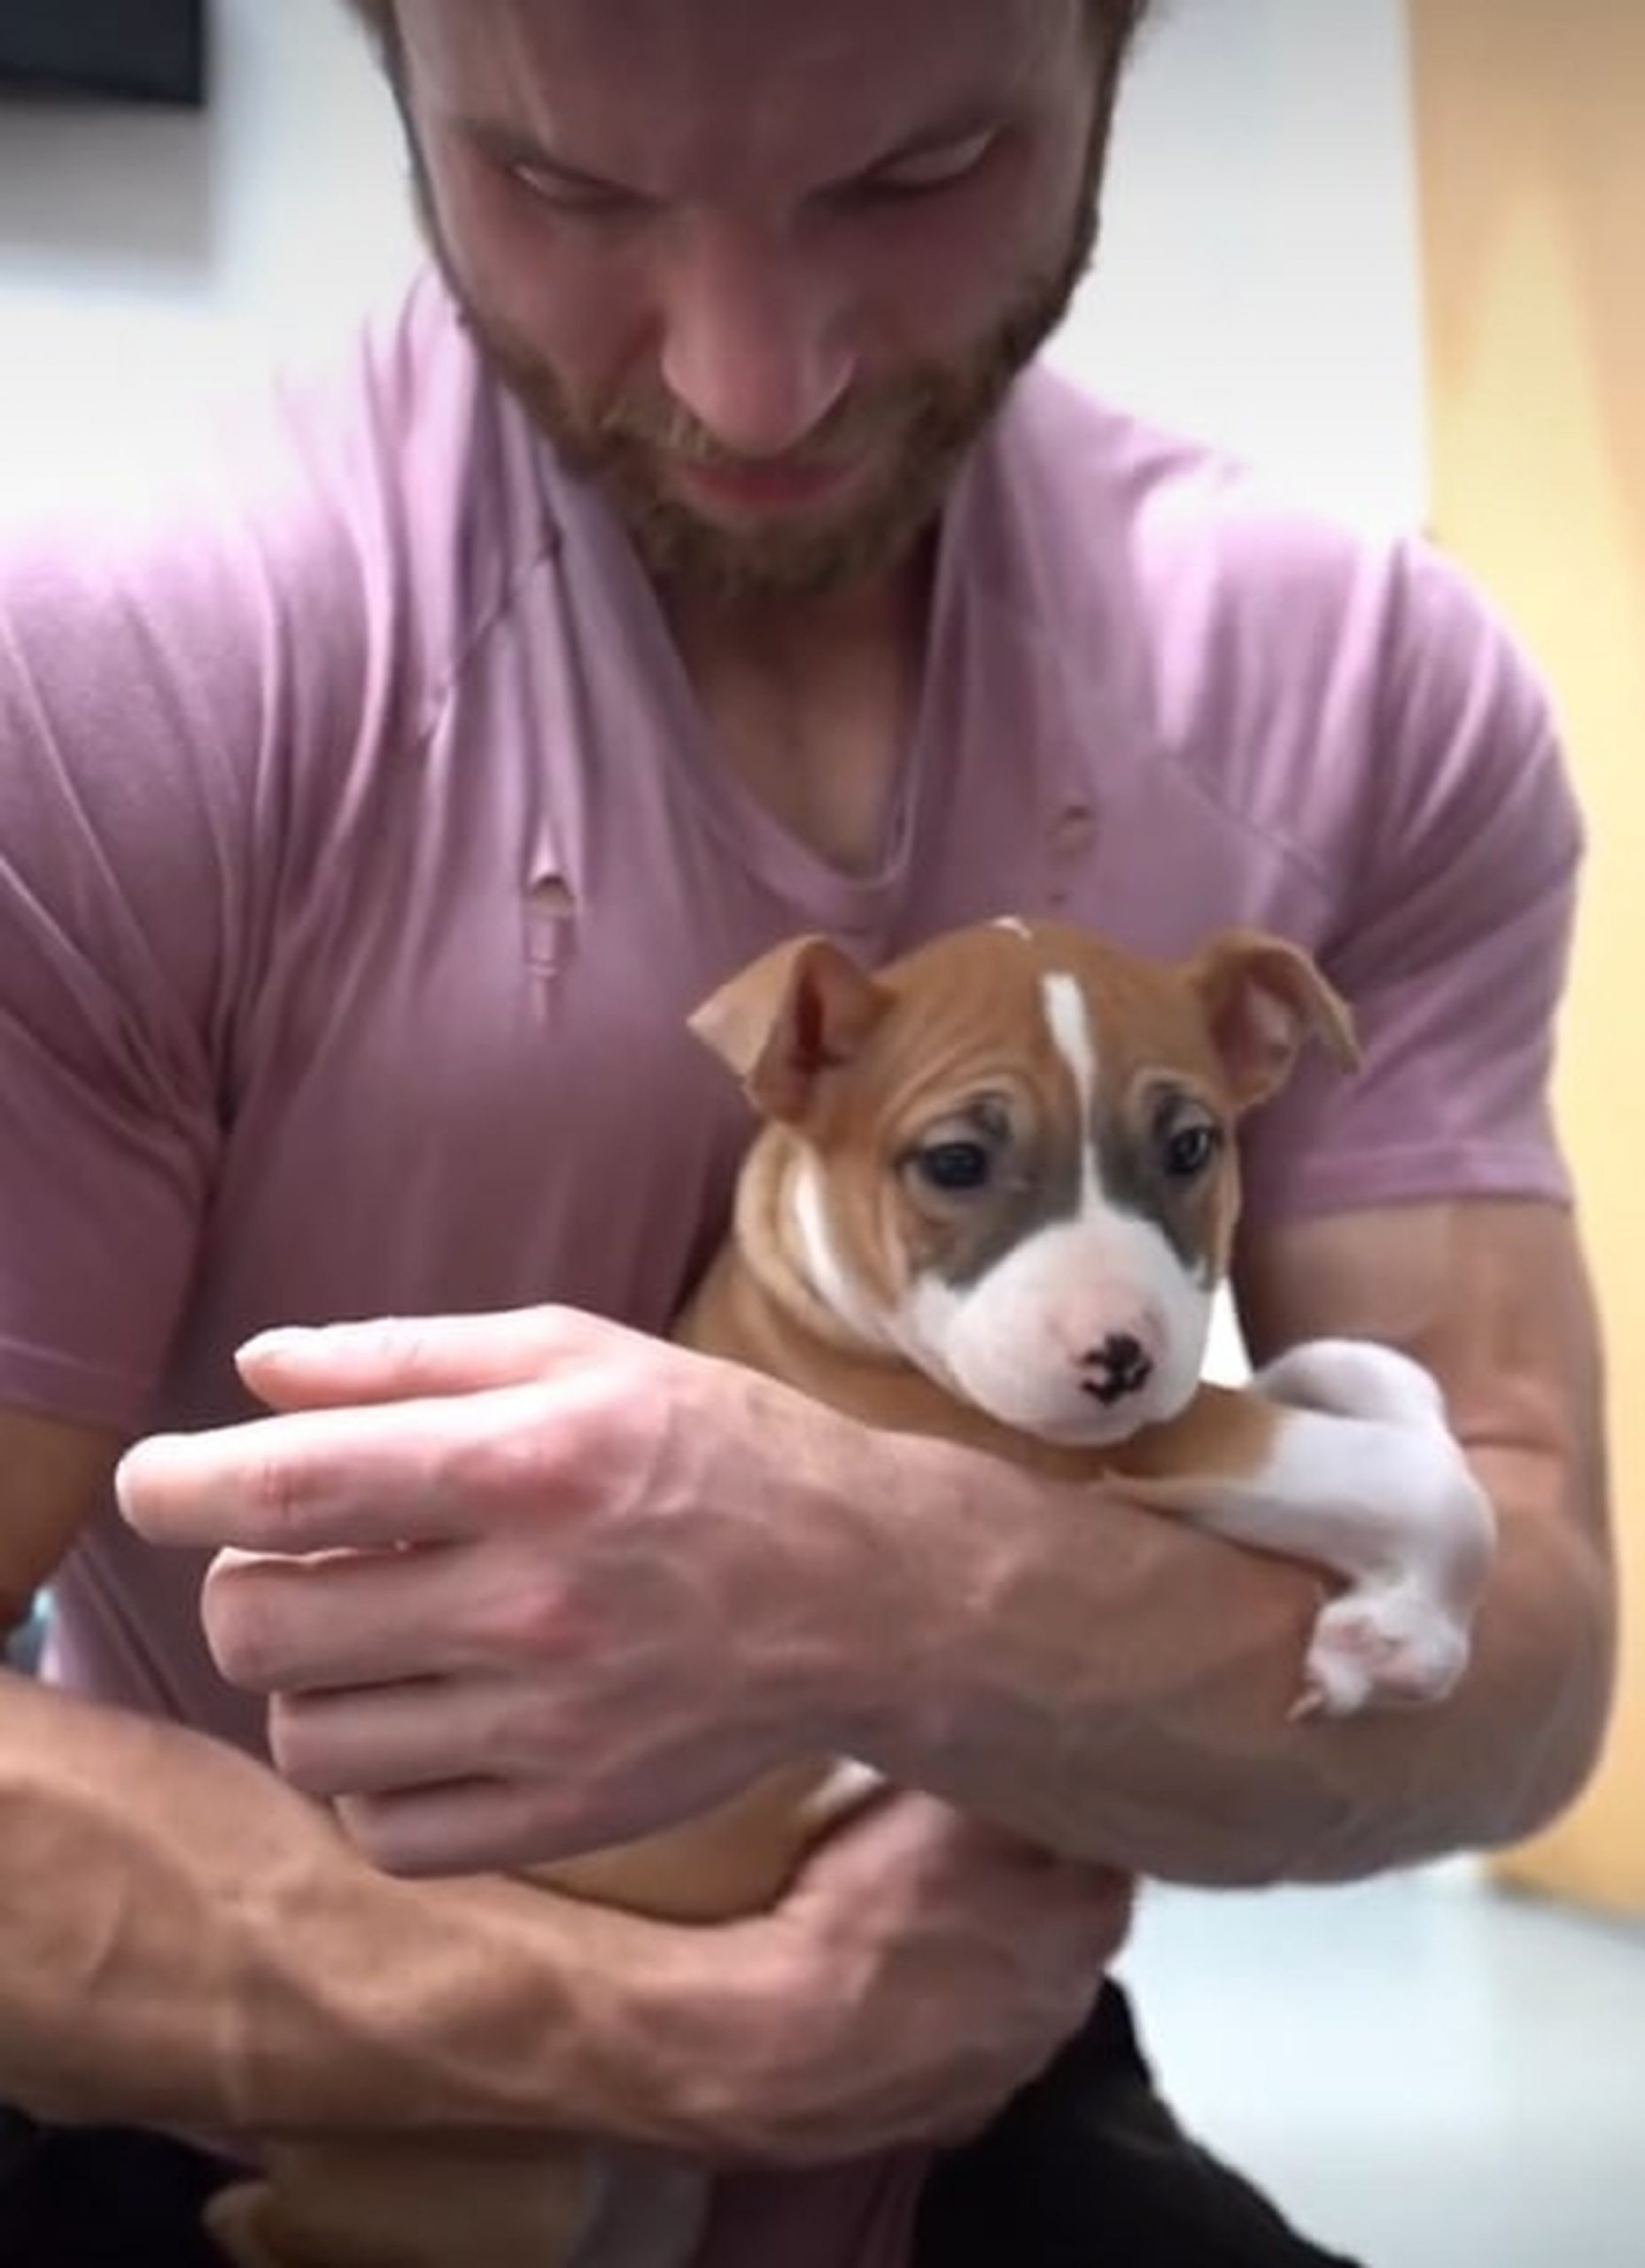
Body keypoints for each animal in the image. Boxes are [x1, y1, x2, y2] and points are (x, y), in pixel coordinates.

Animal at [205, 912, 1488, 2268]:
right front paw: (1402, 1639)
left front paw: (1380, 1558)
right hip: (485, 2190)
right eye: (958, 1161)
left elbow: (1383, 1383)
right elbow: (1400, 1475)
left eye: (1192, 1146)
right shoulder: (1071, 1458)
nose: (1121, 1360)